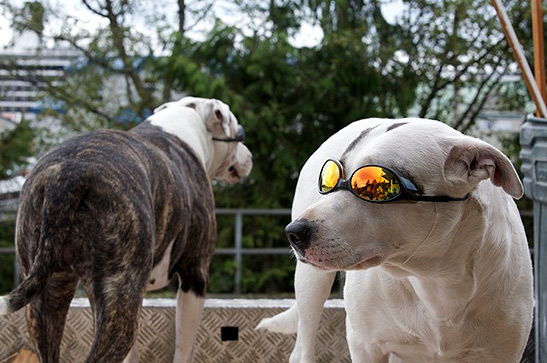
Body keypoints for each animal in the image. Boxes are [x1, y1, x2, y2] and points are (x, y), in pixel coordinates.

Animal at [0, 96, 253, 363]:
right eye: (238, 132)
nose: (250, 155)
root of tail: (69, 174)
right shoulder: (194, 274)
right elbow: (184, 345)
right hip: (121, 299)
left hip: (50, 296)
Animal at [258, 118, 536, 362]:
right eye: (330, 177)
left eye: (374, 185)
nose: (294, 232)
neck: (435, 278)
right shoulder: (366, 346)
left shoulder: (501, 350)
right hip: (311, 283)